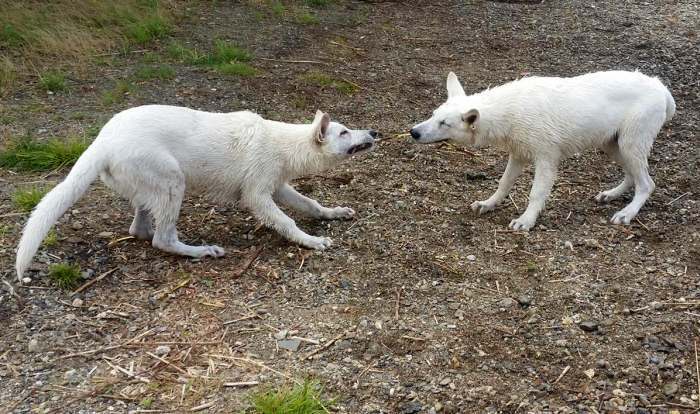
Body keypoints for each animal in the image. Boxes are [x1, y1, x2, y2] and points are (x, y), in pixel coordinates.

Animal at [15, 106, 378, 282]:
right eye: (344, 132)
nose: (374, 132)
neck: (283, 143)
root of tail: (101, 142)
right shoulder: (258, 196)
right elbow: (288, 223)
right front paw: (312, 242)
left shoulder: (278, 187)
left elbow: (311, 204)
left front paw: (333, 213)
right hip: (173, 183)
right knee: (162, 239)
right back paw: (201, 250)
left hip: (152, 189)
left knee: (140, 229)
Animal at [410, 72, 672, 233]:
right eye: (433, 115)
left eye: (444, 123)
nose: (413, 132)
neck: (509, 111)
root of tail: (661, 86)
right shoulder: (517, 156)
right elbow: (503, 184)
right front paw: (489, 204)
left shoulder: (546, 160)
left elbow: (536, 194)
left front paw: (526, 220)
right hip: (612, 146)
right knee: (631, 177)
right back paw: (611, 195)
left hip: (629, 146)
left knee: (647, 184)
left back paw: (627, 213)